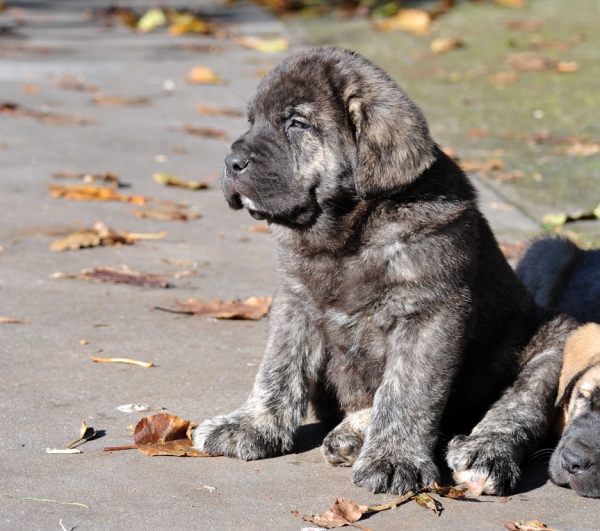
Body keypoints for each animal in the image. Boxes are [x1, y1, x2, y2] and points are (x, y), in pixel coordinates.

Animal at [195, 47, 576, 496]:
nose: (230, 161)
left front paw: (394, 459)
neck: (348, 236)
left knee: (515, 406)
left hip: (558, 337)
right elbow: (278, 368)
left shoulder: (429, 314)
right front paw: (252, 426)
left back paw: (484, 452)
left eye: (297, 123)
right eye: (252, 121)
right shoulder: (295, 301)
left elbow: (406, 391)